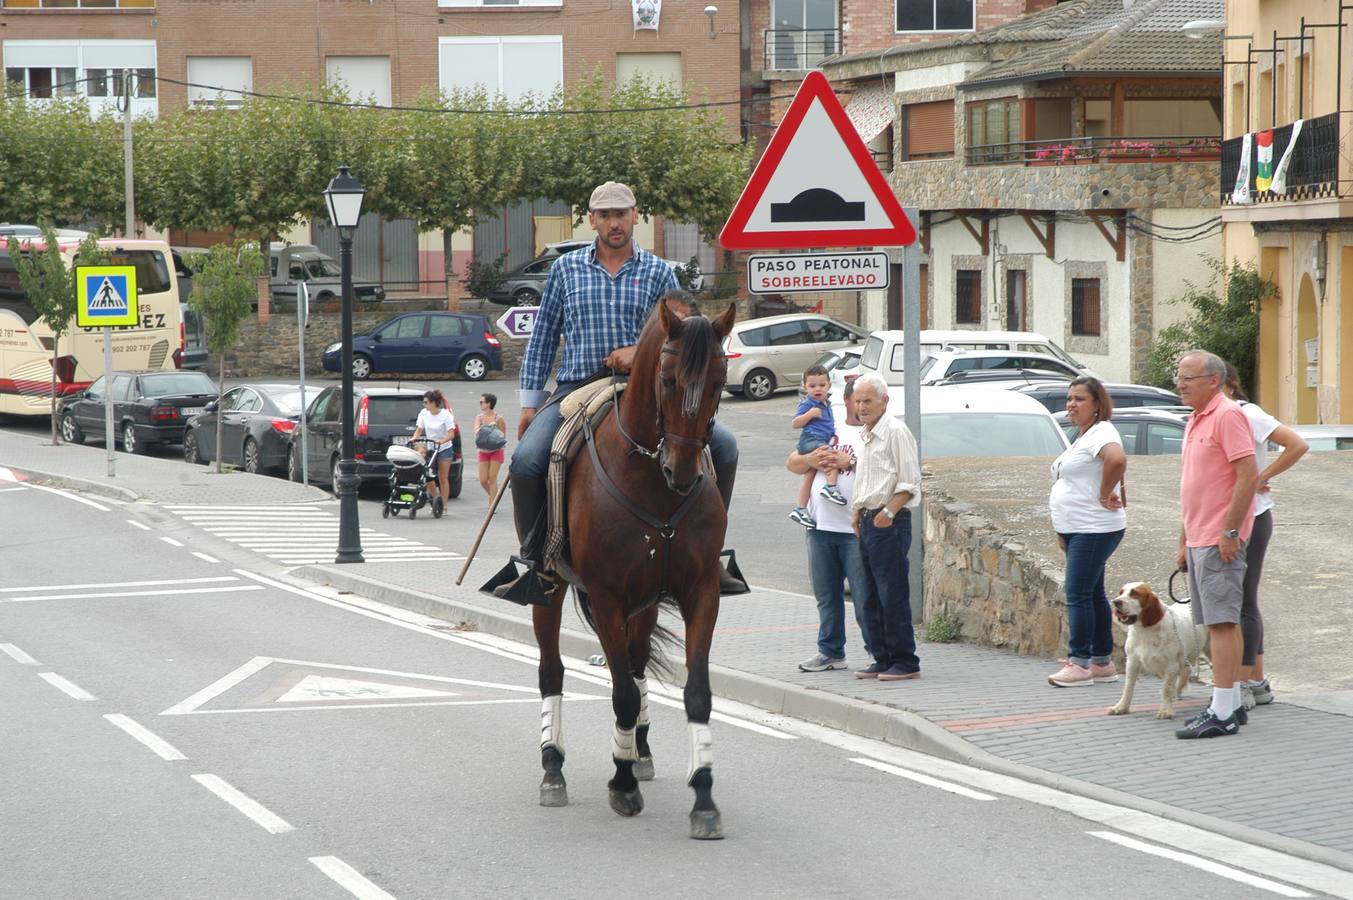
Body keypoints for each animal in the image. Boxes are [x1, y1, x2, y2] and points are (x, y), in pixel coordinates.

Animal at [530, 290, 741, 839]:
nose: (682, 472)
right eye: (667, 380)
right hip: (551, 590)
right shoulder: (607, 597)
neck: (651, 482)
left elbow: (695, 693)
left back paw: (640, 750)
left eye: (719, 382)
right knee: (552, 671)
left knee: (639, 661)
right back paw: (553, 768)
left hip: (646, 602)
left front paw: (703, 796)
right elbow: (621, 693)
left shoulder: (701, 592)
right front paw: (621, 785)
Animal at [1104, 579, 1212, 720]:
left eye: (1135, 593)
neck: (1145, 630)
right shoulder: (1132, 662)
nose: (1116, 602)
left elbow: (1166, 688)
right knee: (1186, 670)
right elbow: (1128, 687)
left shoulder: (1171, 665)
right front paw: (1121, 707)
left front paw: (1166, 710)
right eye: (1121, 593)